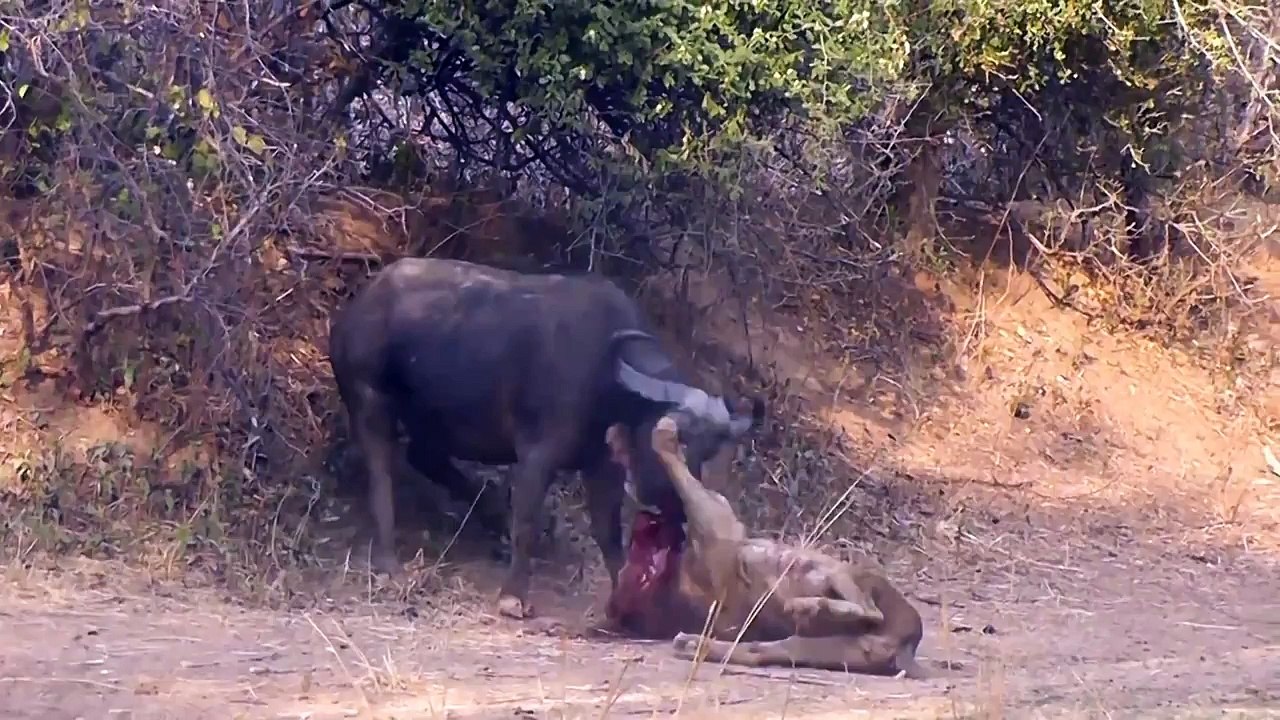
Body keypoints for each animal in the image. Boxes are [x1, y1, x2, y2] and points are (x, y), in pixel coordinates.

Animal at [328, 257, 764, 619]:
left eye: (712, 449)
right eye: (675, 438)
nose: (679, 506)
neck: (607, 378)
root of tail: (356, 309)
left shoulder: (601, 465)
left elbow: (608, 532)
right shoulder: (538, 454)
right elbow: (527, 520)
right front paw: (512, 596)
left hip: (434, 419)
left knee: (425, 457)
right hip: (370, 401)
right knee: (382, 472)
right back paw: (390, 562)